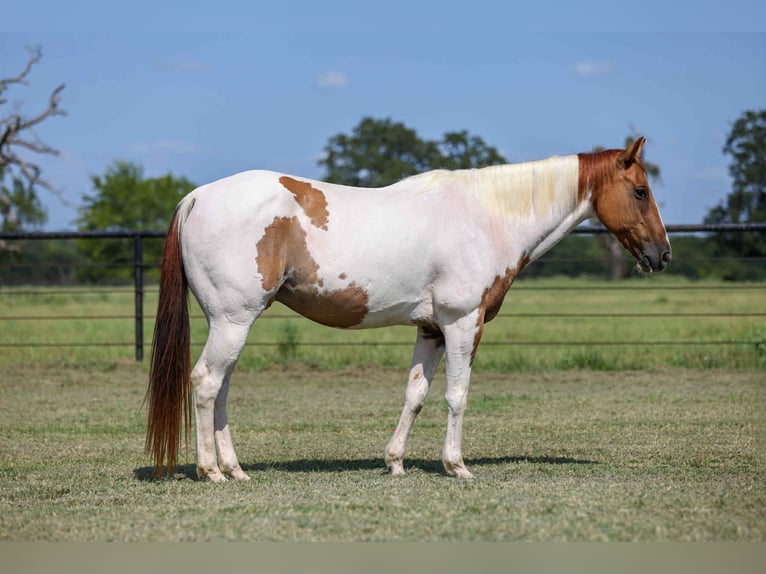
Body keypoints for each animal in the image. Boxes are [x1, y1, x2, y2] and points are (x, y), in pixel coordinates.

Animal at [145, 136, 671, 481]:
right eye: (641, 191)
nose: (663, 255)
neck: (488, 216)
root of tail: (197, 197)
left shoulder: (431, 329)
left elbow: (415, 394)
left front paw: (395, 462)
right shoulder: (463, 324)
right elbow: (457, 395)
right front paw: (457, 466)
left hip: (232, 324)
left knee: (221, 389)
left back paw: (235, 470)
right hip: (233, 321)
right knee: (206, 383)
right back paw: (211, 471)